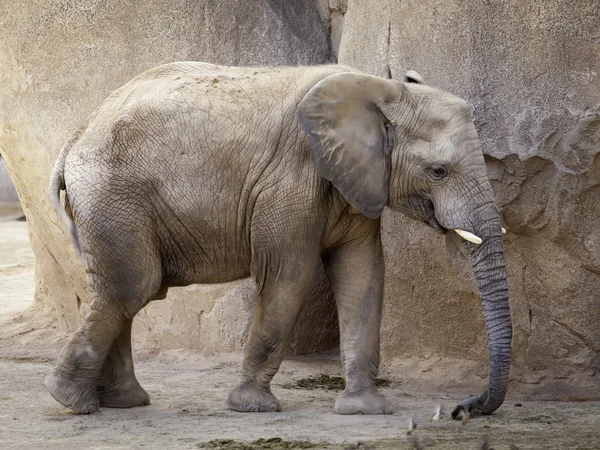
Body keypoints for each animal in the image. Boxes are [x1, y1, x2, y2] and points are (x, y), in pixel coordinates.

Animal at [45, 60, 510, 418]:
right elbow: (290, 276)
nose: (461, 409)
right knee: (132, 288)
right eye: (438, 171)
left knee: (121, 290)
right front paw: (253, 408)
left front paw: (364, 410)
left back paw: (119, 402)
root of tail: (76, 135)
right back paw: (74, 402)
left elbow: (362, 276)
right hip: (112, 195)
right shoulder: (290, 180)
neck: (379, 88)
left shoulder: (357, 184)